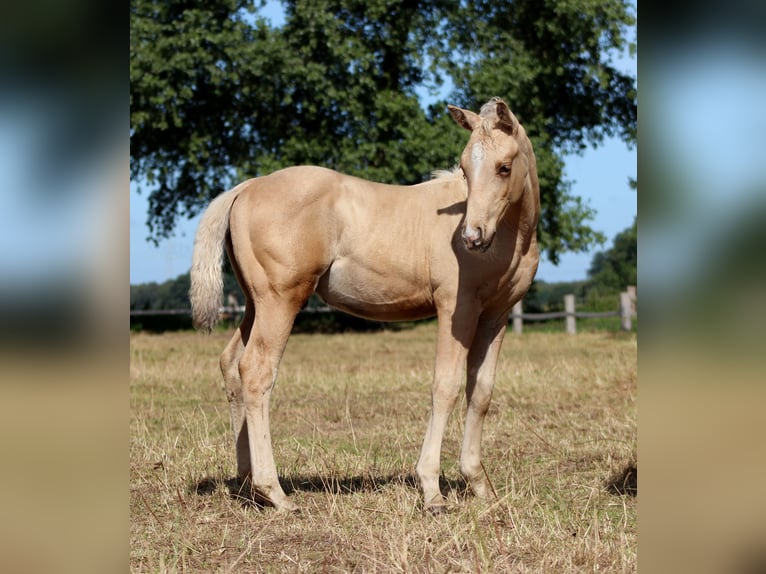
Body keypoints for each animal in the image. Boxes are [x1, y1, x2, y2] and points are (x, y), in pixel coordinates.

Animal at [189, 97, 540, 513]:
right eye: (465, 168)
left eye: (504, 167)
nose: (472, 237)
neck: (510, 235)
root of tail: (245, 187)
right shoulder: (458, 309)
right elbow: (446, 386)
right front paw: (432, 492)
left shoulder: (496, 316)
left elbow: (481, 391)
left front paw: (480, 485)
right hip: (280, 300)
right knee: (256, 370)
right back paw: (275, 492)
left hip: (254, 303)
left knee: (231, 363)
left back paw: (247, 485)